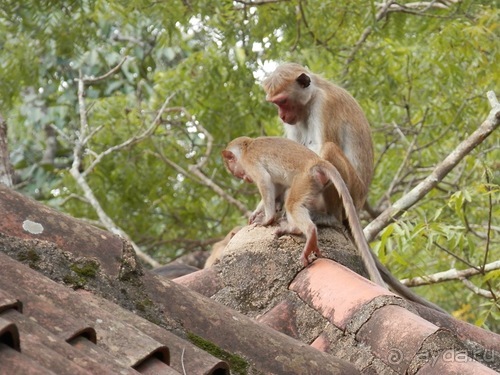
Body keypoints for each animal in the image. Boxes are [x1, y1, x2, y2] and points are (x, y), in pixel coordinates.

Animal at [221, 137, 384, 286]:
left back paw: (309, 231)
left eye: (237, 172)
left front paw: (268, 218)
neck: (247, 146)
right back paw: (294, 227)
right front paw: (256, 213)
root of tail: (317, 161)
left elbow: (265, 180)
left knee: (292, 204)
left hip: (305, 179)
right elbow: (276, 186)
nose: (245, 178)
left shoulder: (250, 162)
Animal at [264, 63, 374, 225]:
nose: (281, 116)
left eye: (282, 101)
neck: (312, 97)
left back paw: (331, 217)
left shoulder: (325, 104)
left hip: (353, 193)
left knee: (328, 150)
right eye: (275, 103)